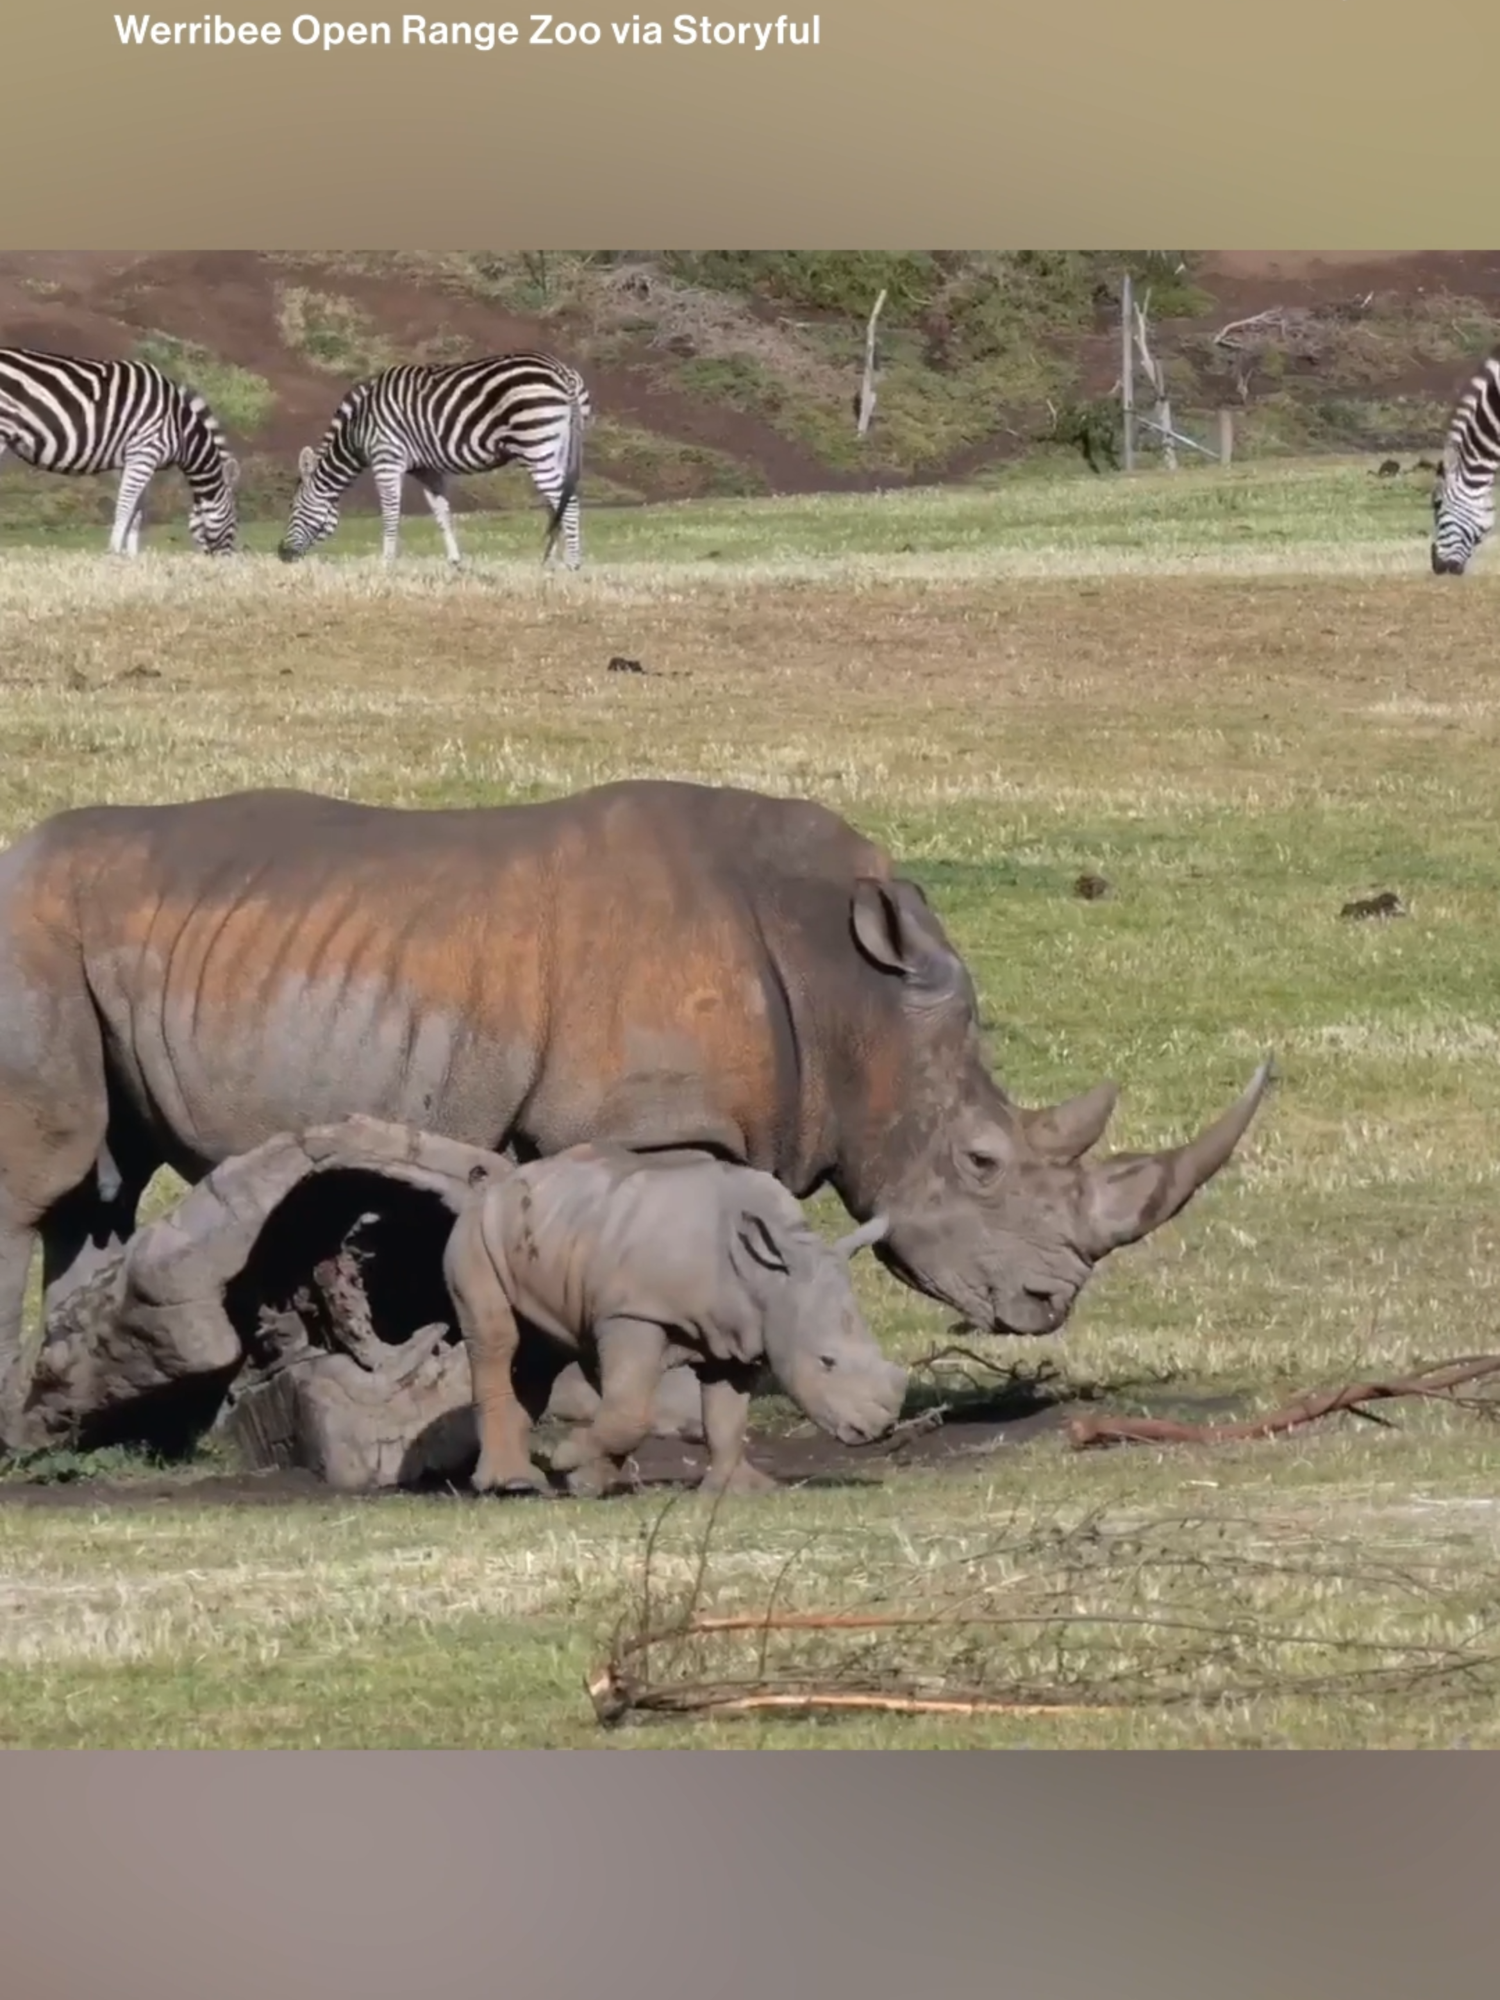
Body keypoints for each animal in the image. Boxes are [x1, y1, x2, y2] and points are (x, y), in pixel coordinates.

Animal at [0, 346, 239, 556]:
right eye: (235, 521)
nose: (230, 560)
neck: (179, 427)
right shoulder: (143, 454)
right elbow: (125, 506)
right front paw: (114, 552)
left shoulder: (140, 461)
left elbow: (137, 512)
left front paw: (131, 556)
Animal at [0, 772, 1272, 1432]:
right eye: (981, 1163)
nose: (1052, 1300)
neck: (850, 993)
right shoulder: (640, 1126)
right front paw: (635, 1414)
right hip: (28, 934)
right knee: (45, 1177)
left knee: (98, 1192)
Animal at [278, 352, 592, 568]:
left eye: (294, 507)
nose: (281, 554)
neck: (358, 427)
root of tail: (563, 372)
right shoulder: (426, 469)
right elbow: (442, 513)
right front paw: (454, 562)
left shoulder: (386, 459)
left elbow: (390, 513)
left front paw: (386, 564)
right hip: (556, 449)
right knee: (558, 502)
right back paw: (550, 562)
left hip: (535, 445)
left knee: (568, 501)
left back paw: (572, 564)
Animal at [444, 1144, 916, 1504]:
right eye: (826, 1361)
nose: (880, 1429)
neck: (768, 1275)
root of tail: (492, 1185)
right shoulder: (635, 1311)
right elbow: (629, 1411)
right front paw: (568, 1461)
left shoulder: (738, 1336)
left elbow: (726, 1419)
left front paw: (737, 1490)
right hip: (475, 1233)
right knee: (496, 1339)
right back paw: (513, 1484)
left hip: (548, 1230)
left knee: (540, 1355)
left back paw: (529, 1480)